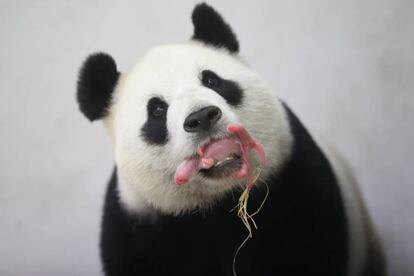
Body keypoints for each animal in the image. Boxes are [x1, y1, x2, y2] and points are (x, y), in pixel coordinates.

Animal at [77, 2, 384, 276]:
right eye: (156, 110)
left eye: (212, 80)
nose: (202, 117)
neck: (218, 202)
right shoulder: (139, 226)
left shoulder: (294, 183)